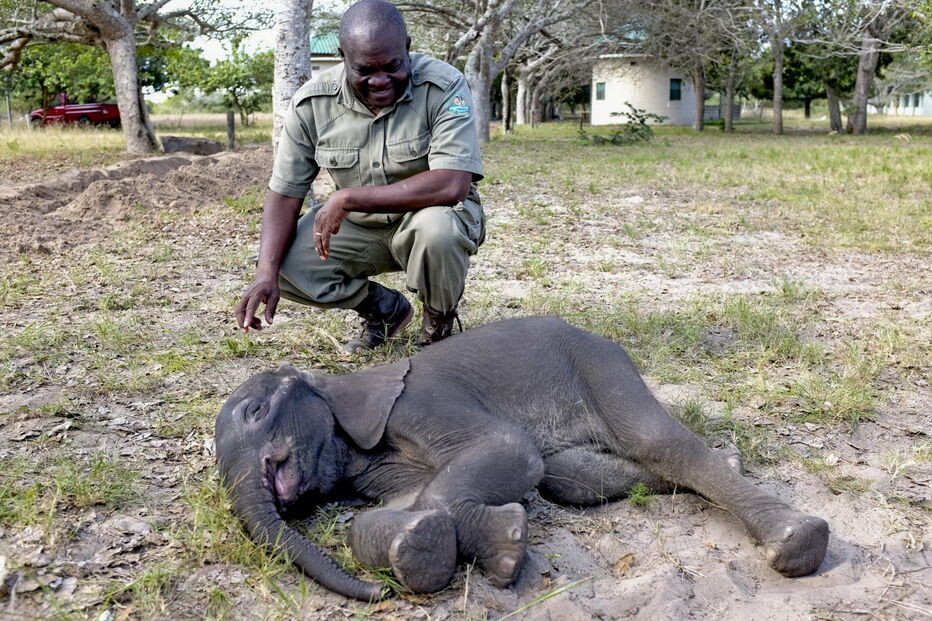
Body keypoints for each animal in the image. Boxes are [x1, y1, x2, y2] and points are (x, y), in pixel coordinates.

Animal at [214, 316, 829, 601]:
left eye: (256, 411)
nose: (378, 595)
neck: (338, 383)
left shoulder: (419, 403)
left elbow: (510, 450)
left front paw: (502, 550)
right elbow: (399, 508)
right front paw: (426, 548)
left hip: (599, 364)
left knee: (657, 443)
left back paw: (796, 543)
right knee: (572, 476)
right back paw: (732, 461)